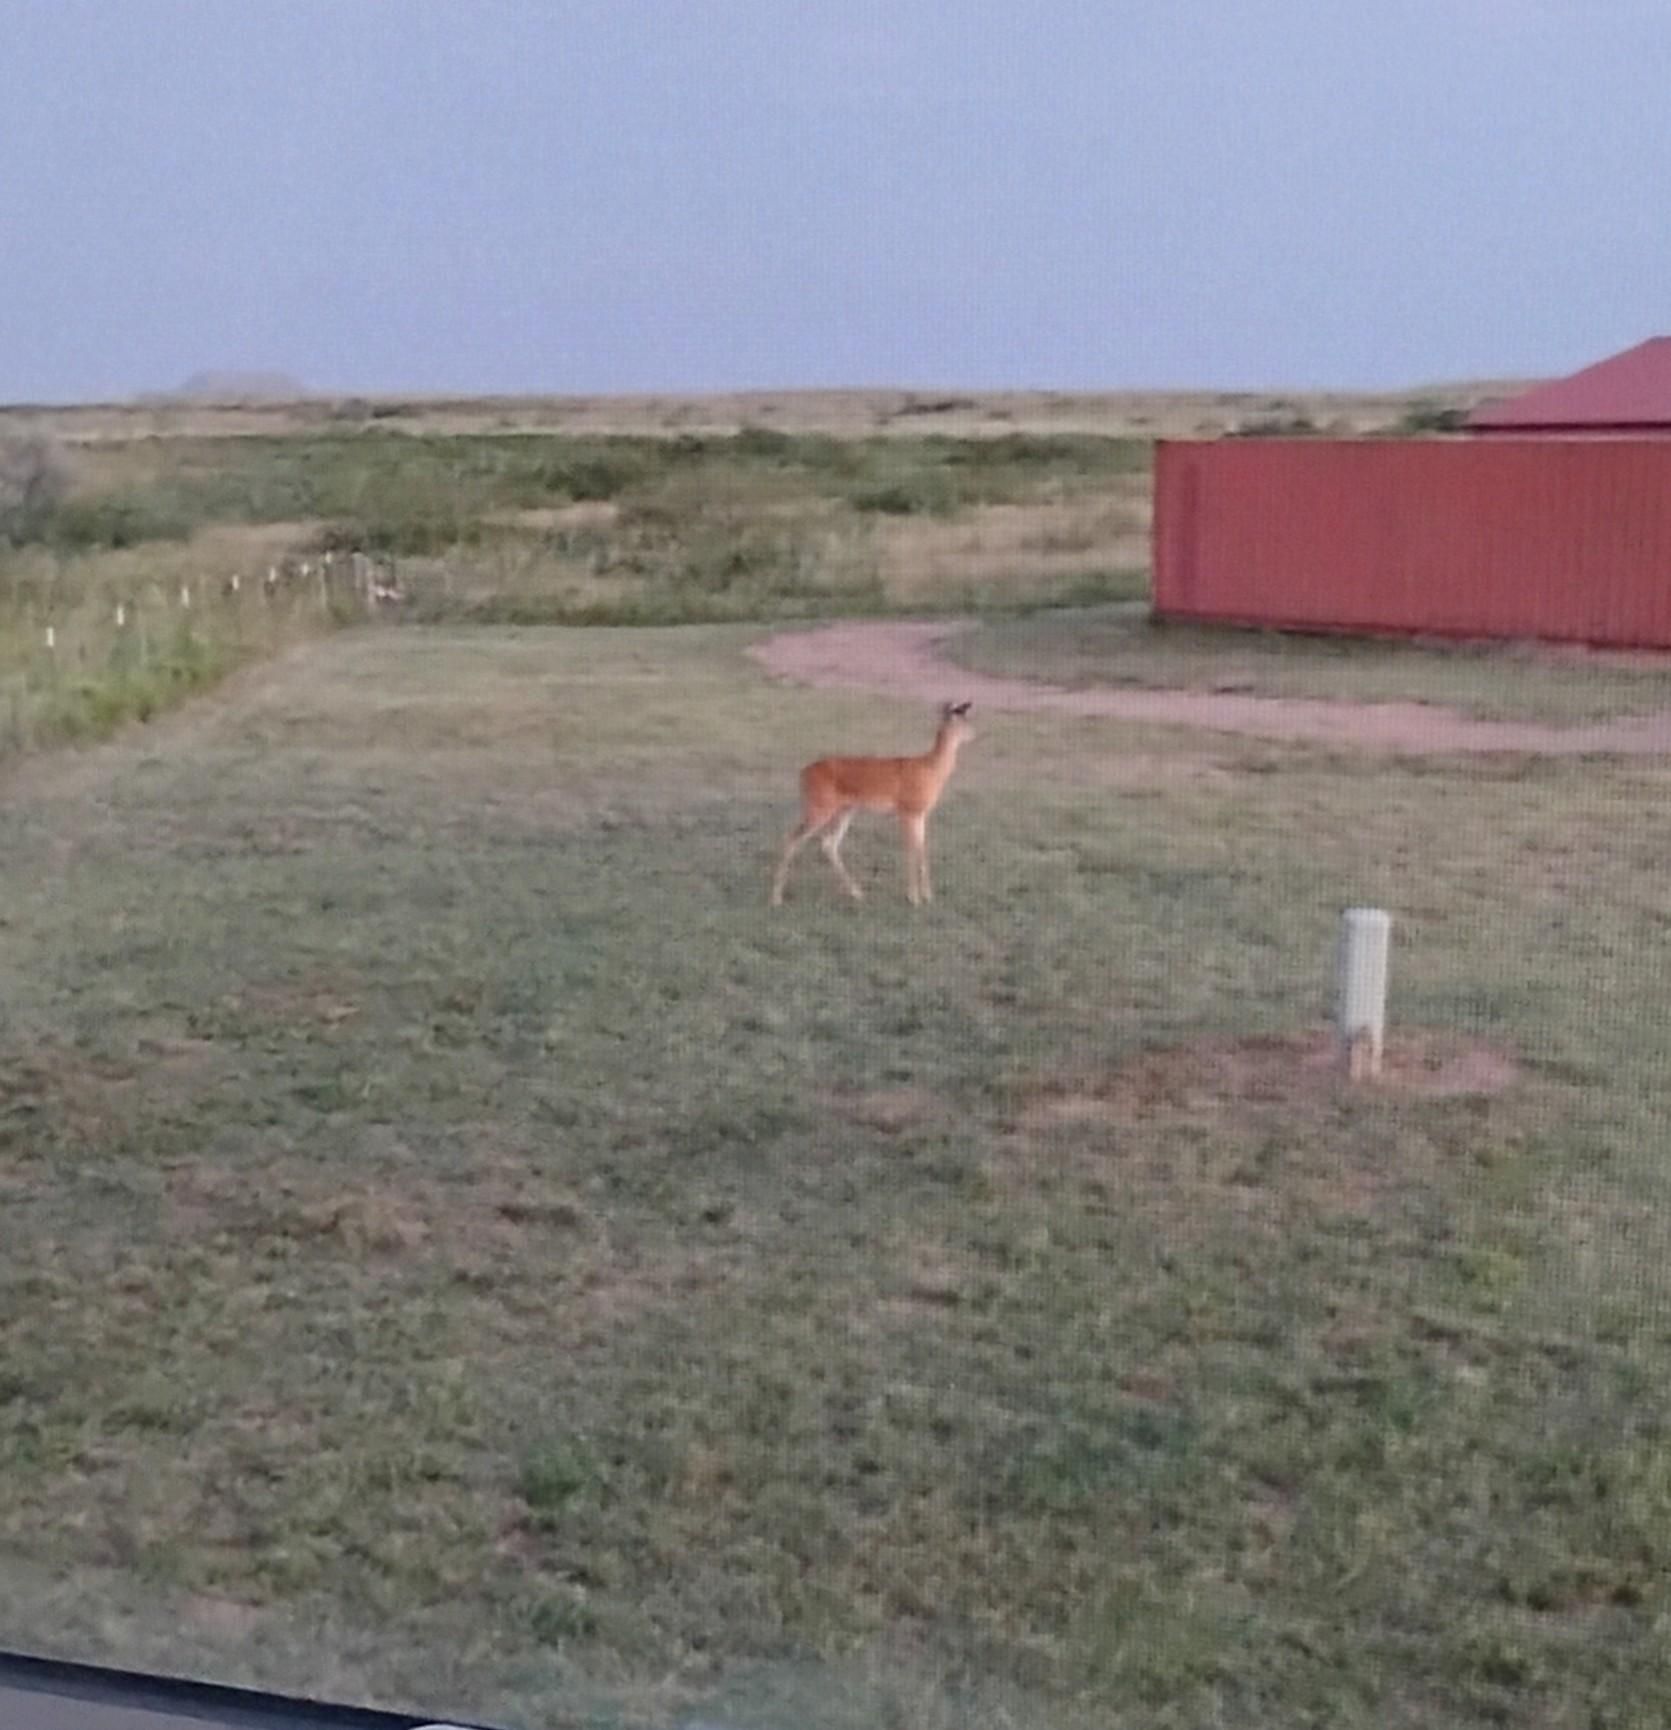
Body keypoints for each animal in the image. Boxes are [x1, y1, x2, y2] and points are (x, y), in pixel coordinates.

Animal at [770, 702, 976, 907]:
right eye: (962, 721)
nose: (975, 734)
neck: (930, 769)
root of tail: (802, 774)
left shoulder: (921, 813)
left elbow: (922, 850)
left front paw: (928, 895)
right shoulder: (907, 810)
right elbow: (911, 850)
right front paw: (914, 898)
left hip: (845, 809)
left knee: (829, 843)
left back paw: (857, 892)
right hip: (819, 807)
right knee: (792, 838)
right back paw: (776, 897)